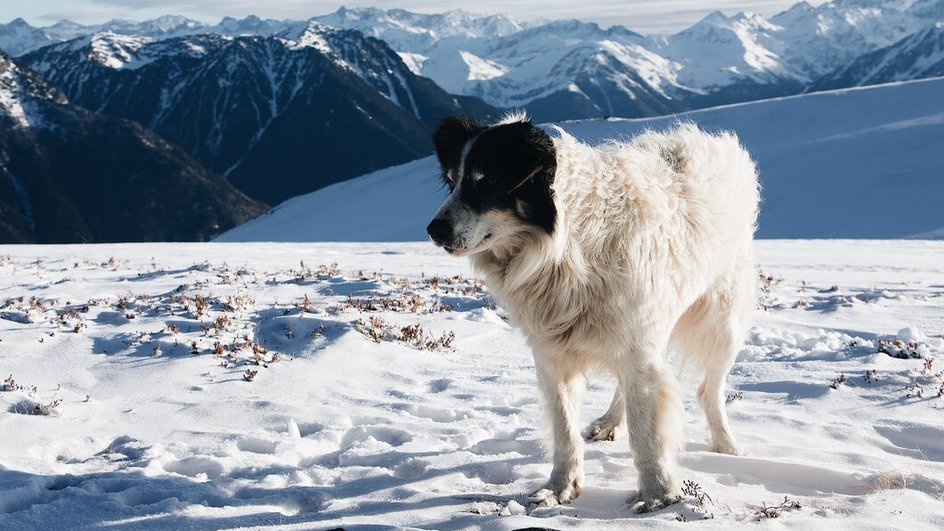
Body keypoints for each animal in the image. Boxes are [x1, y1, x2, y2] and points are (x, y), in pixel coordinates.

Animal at [428, 113, 760, 516]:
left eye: (488, 179)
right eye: (452, 180)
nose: (433, 230)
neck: (564, 249)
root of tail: (714, 142)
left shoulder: (637, 344)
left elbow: (646, 432)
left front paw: (658, 494)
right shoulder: (554, 354)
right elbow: (564, 429)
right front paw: (559, 488)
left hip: (722, 323)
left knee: (709, 390)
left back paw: (726, 444)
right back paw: (610, 421)